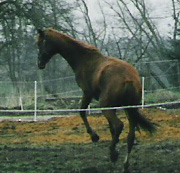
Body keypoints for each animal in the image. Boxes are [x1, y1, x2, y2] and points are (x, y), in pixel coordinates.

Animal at [36, 28, 156, 172]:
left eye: (40, 43)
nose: (40, 63)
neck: (84, 59)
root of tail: (128, 78)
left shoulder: (87, 93)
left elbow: (82, 112)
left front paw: (94, 136)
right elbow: (111, 130)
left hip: (106, 107)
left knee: (119, 125)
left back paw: (113, 154)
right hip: (129, 109)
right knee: (130, 136)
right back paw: (125, 165)